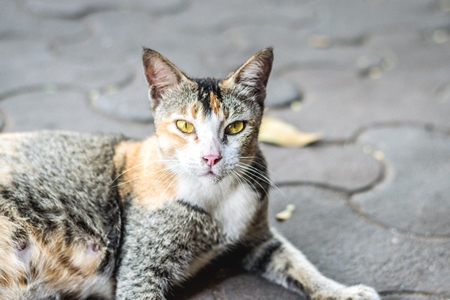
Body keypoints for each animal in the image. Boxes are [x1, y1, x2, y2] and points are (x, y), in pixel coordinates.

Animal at [0, 48, 380, 298]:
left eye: (236, 127)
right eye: (184, 125)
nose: (211, 157)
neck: (216, 196)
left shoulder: (257, 238)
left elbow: (297, 263)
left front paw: (342, 291)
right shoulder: (141, 270)